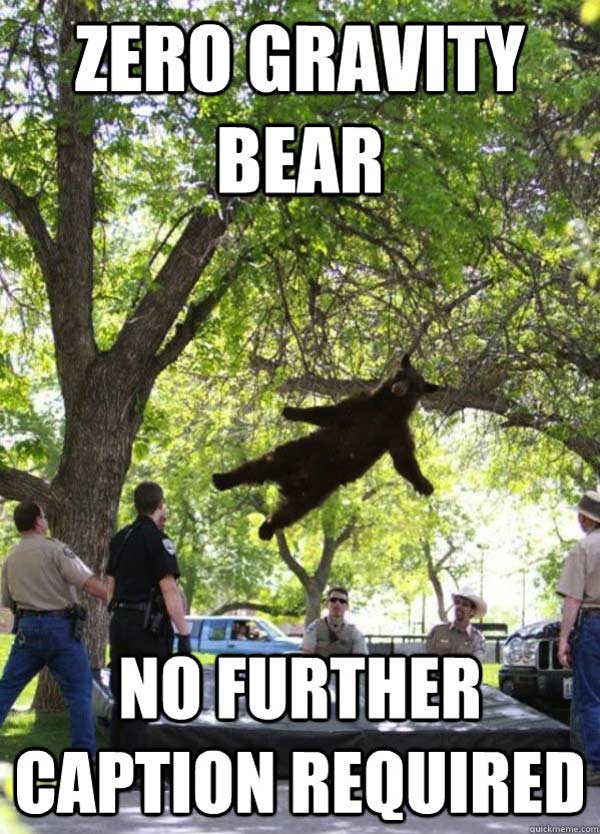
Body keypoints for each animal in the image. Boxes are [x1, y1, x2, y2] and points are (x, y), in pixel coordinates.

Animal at [212, 354, 442, 540]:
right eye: (401, 375)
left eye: (414, 386)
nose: (399, 388)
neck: (387, 408)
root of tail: (291, 481)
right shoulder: (361, 406)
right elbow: (329, 413)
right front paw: (292, 411)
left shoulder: (396, 430)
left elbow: (404, 458)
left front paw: (424, 484)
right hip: (298, 452)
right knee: (259, 466)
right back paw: (224, 479)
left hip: (316, 491)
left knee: (290, 512)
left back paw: (266, 528)